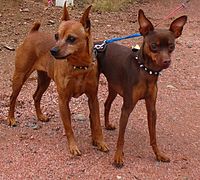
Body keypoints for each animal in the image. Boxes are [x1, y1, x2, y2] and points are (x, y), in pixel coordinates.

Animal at [7, 2, 108, 155]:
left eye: (71, 38)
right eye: (56, 36)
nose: (53, 51)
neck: (78, 67)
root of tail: (33, 33)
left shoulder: (92, 98)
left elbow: (97, 123)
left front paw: (100, 142)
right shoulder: (63, 100)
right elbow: (69, 127)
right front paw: (73, 147)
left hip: (44, 81)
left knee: (36, 96)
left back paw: (40, 116)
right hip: (20, 77)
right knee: (13, 97)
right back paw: (11, 119)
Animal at [96, 9, 187, 167]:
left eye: (171, 46)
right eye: (154, 46)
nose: (166, 61)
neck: (146, 71)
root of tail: (96, 43)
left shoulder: (151, 109)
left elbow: (153, 136)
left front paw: (158, 154)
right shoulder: (127, 108)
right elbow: (121, 138)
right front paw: (118, 156)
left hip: (113, 87)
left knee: (107, 104)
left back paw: (107, 124)